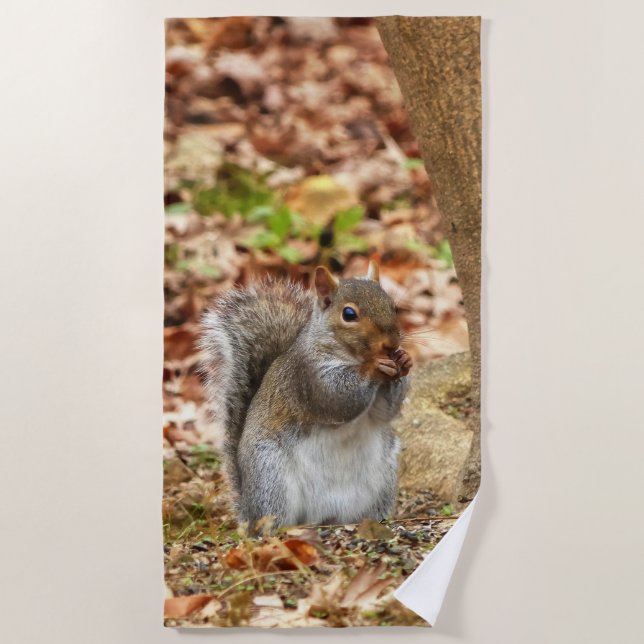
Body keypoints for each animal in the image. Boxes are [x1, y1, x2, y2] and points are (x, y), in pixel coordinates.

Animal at [200, 260, 412, 529]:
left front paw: (404, 361)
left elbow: (385, 411)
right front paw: (374, 366)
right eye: (349, 314)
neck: (350, 356)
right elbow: (338, 397)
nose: (391, 344)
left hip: (384, 477)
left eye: (393, 306)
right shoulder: (308, 376)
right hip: (270, 476)